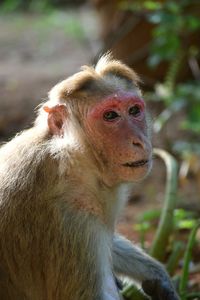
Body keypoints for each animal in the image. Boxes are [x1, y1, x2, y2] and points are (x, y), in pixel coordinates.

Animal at [0, 54, 180, 300]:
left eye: (134, 111)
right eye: (110, 116)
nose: (139, 141)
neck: (73, 162)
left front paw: (156, 275)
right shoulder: (70, 218)